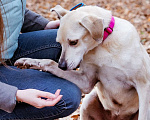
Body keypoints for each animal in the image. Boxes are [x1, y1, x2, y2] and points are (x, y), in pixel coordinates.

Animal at [14, 4, 150, 120]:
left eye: (74, 42)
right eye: (59, 43)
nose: (62, 66)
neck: (103, 46)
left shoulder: (144, 86)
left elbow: (144, 115)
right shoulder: (86, 81)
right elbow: (50, 63)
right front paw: (29, 61)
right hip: (88, 101)